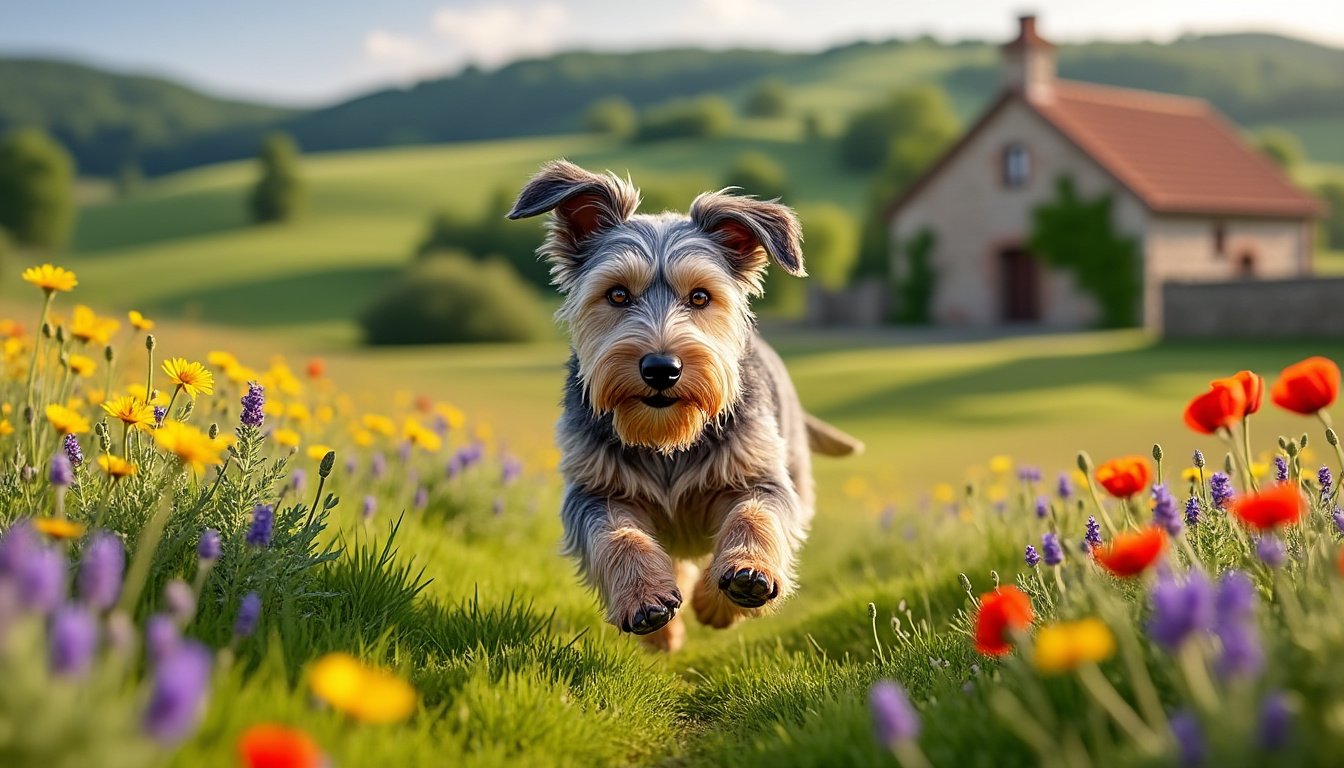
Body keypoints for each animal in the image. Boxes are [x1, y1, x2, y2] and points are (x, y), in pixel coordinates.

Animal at [505, 159, 860, 650]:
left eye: (700, 296)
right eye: (617, 294)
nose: (661, 368)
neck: (667, 436)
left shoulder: (761, 475)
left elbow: (756, 514)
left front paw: (742, 580)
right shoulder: (593, 491)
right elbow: (618, 536)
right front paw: (645, 599)